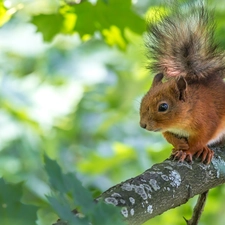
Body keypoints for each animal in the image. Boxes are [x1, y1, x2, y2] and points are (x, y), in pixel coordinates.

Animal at [140, 3, 225, 163]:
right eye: (142, 101)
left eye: (163, 107)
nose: (143, 125)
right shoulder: (167, 129)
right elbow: (168, 135)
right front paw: (178, 144)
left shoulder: (209, 122)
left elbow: (200, 140)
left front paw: (188, 151)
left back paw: (206, 150)